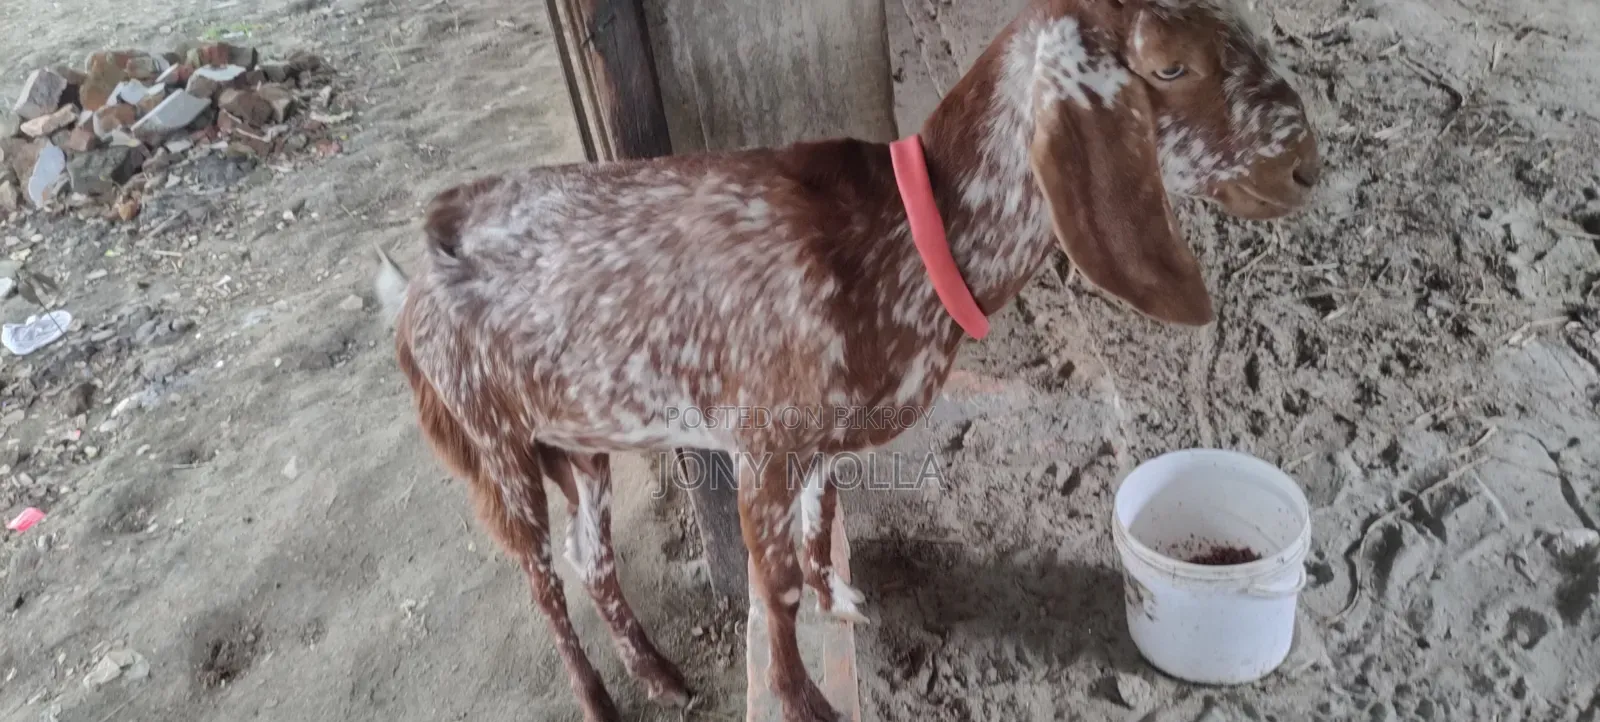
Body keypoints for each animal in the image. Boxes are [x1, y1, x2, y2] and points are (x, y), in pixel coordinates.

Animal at [376, 0, 1321, 719]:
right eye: (1170, 67)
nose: (1308, 169)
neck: (904, 236)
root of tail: (412, 279)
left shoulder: (820, 438)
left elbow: (822, 524)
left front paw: (844, 605)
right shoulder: (762, 438)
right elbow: (776, 584)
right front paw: (803, 700)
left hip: (577, 441)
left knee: (592, 559)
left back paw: (659, 675)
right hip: (494, 442)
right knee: (541, 579)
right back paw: (600, 700)